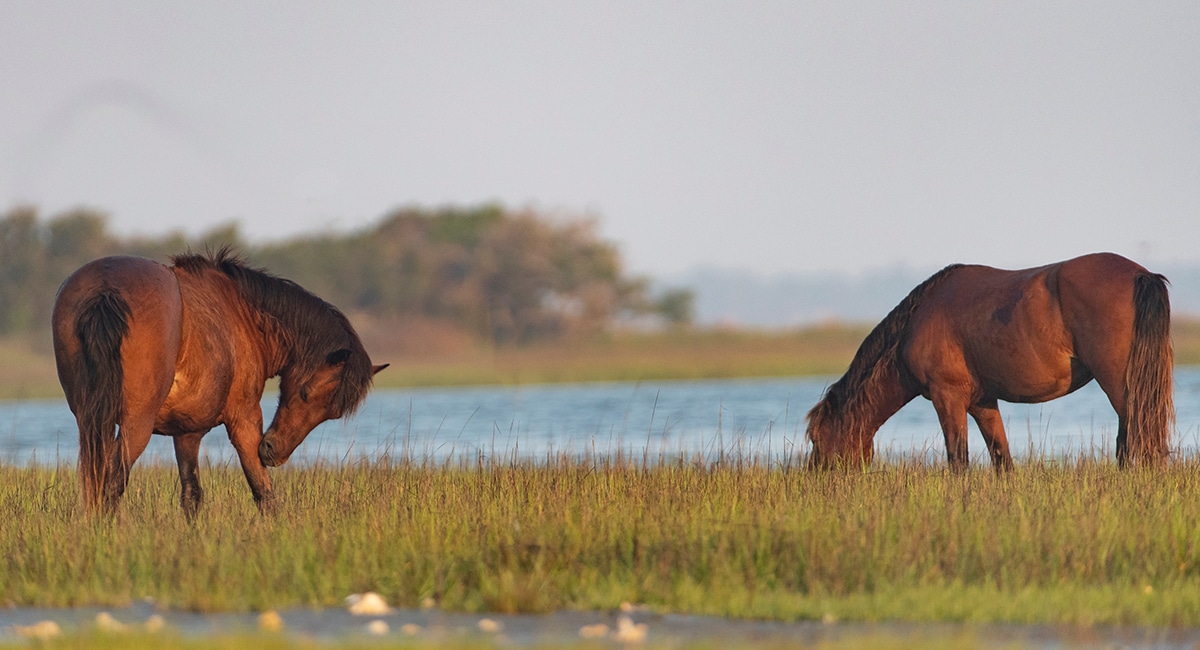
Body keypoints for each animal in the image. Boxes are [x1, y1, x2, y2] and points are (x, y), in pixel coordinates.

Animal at [52, 249, 387, 517]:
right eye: (306, 393)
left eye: (332, 412)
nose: (273, 451)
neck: (243, 314)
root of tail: (105, 288)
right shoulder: (244, 421)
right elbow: (263, 492)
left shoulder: (186, 433)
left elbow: (191, 495)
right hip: (136, 426)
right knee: (111, 485)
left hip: (92, 422)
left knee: (96, 484)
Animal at [806, 252, 1173, 471]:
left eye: (817, 440)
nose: (816, 479)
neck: (918, 320)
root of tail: (1142, 275)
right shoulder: (982, 402)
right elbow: (1002, 459)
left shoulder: (947, 397)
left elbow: (958, 459)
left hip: (1120, 385)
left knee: (1141, 439)